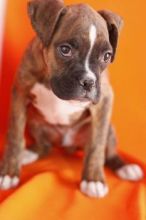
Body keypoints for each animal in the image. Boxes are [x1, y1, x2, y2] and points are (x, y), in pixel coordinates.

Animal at [0, 0, 144, 197]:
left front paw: (93, 180)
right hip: (34, 120)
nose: (88, 82)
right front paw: (9, 172)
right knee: (45, 146)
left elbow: (97, 146)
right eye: (65, 50)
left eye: (107, 56)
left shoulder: (105, 100)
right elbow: (15, 135)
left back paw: (125, 167)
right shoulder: (20, 93)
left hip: (109, 129)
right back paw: (28, 154)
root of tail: (66, 145)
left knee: (109, 153)